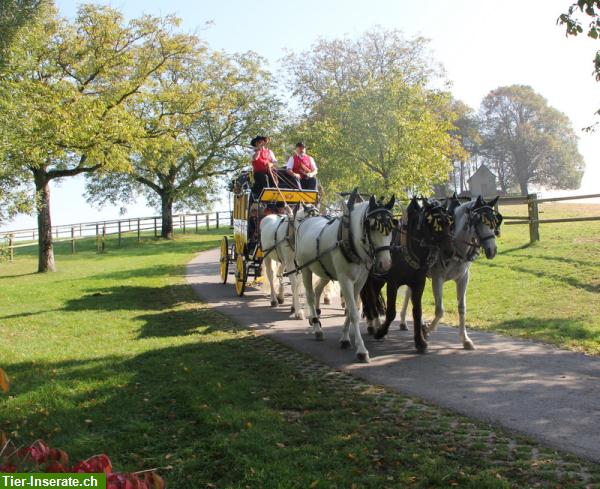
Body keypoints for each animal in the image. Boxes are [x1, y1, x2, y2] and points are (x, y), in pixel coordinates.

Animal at [294, 191, 394, 362]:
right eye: (372, 226)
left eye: (392, 227)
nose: (385, 264)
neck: (350, 239)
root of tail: (305, 221)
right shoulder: (344, 279)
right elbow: (353, 312)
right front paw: (361, 350)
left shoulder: (360, 281)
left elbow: (350, 308)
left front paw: (345, 339)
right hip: (306, 268)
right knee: (310, 296)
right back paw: (316, 327)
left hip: (325, 271)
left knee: (318, 289)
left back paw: (317, 317)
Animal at [360, 196, 454, 352]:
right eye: (431, 222)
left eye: (449, 221)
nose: (449, 252)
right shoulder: (392, 283)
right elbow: (391, 312)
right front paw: (381, 332)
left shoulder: (418, 284)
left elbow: (417, 311)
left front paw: (420, 341)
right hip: (369, 278)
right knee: (370, 298)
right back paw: (373, 325)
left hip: (379, 279)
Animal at [398, 193, 502, 348]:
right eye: (478, 221)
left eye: (494, 221)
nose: (492, 250)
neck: (455, 246)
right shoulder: (437, 278)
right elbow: (440, 311)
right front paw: (427, 330)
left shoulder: (463, 278)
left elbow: (462, 307)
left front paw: (465, 339)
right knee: (411, 296)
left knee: (408, 294)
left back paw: (404, 321)